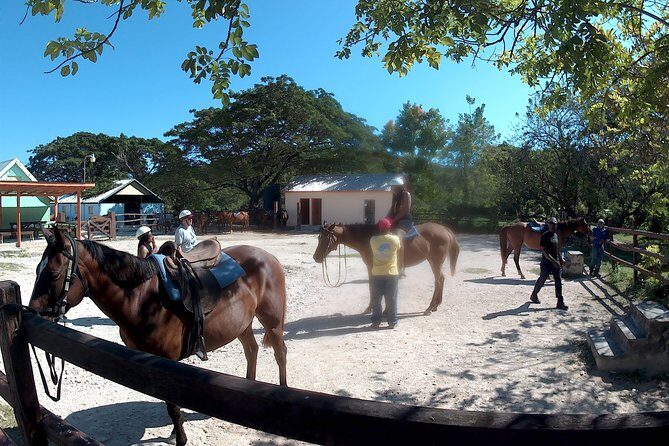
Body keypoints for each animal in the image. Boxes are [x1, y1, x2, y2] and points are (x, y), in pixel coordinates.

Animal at [29, 226, 287, 446]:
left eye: (53, 273)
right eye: (36, 270)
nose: (33, 312)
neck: (141, 298)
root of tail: (268, 257)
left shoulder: (167, 361)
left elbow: (172, 407)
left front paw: (180, 438)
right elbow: (169, 405)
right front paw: (175, 431)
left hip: (272, 322)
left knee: (280, 353)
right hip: (242, 324)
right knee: (251, 350)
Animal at [312, 222, 459, 314]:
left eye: (325, 237)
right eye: (319, 237)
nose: (316, 257)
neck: (368, 239)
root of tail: (445, 230)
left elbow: (375, 288)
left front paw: (376, 308)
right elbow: (373, 287)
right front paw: (375, 308)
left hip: (435, 262)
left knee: (438, 281)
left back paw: (430, 307)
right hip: (433, 261)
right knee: (441, 279)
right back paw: (436, 306)